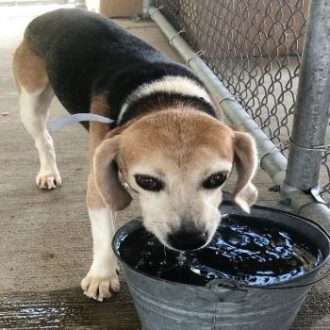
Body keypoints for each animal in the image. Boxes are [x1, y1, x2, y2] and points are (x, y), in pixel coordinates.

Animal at [12, 7, 258, 302]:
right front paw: (102, 274)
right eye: (147, 181)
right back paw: (48, 172)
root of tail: (51, 12)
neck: (167, 99)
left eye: (217, 178)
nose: (188, 240)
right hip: (31, 101)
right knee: (43, 138)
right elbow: (103, 230)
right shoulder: (99, 182)